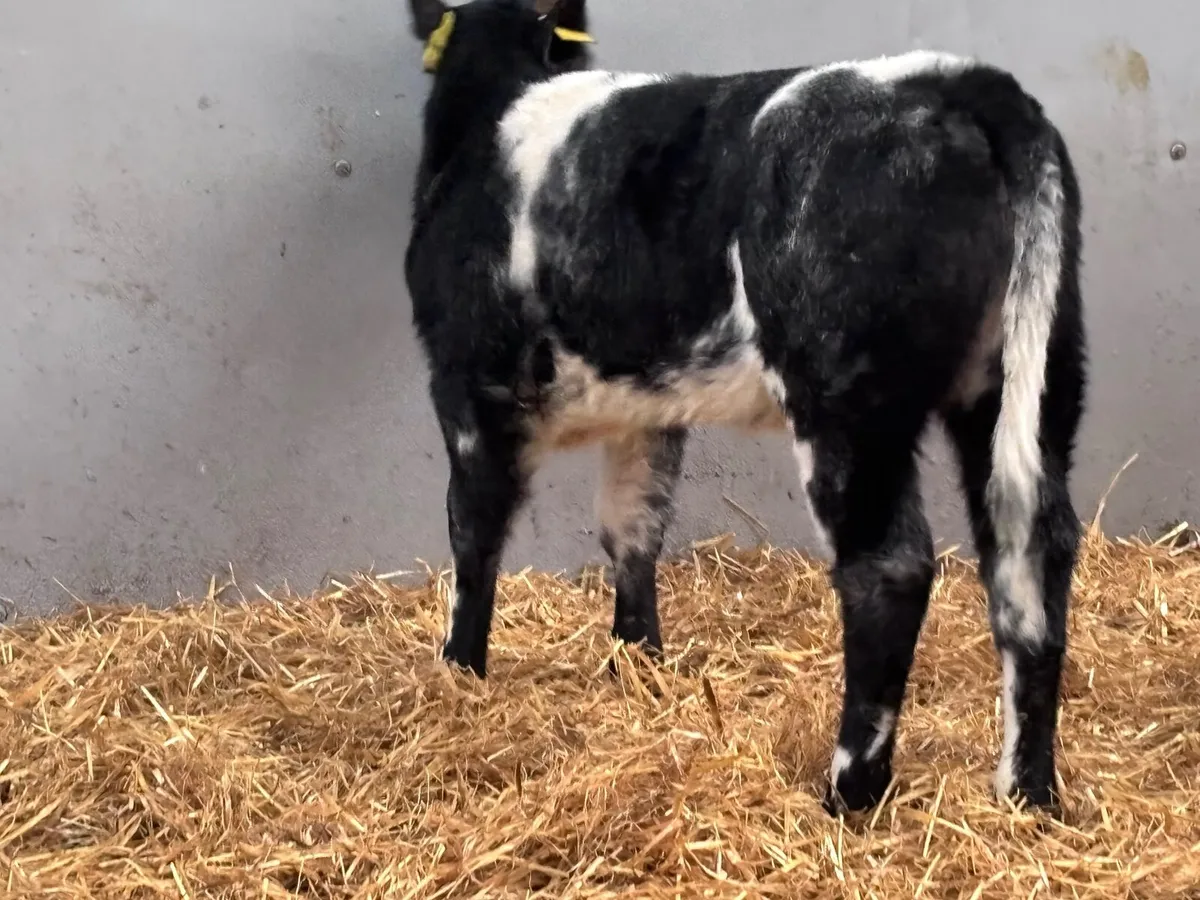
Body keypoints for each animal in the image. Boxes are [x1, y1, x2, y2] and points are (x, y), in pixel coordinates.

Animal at [401, 0, 1087, 817]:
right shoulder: (648, 409)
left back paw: (849, 792)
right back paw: (1028, 794)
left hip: (848, 401)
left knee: (890, 568)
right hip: (1030, 376)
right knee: (1032, 552)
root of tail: (959, 81)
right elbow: (632, 528)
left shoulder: (466, 383)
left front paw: (460, 672)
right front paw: (638, 664)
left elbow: (473, 535)